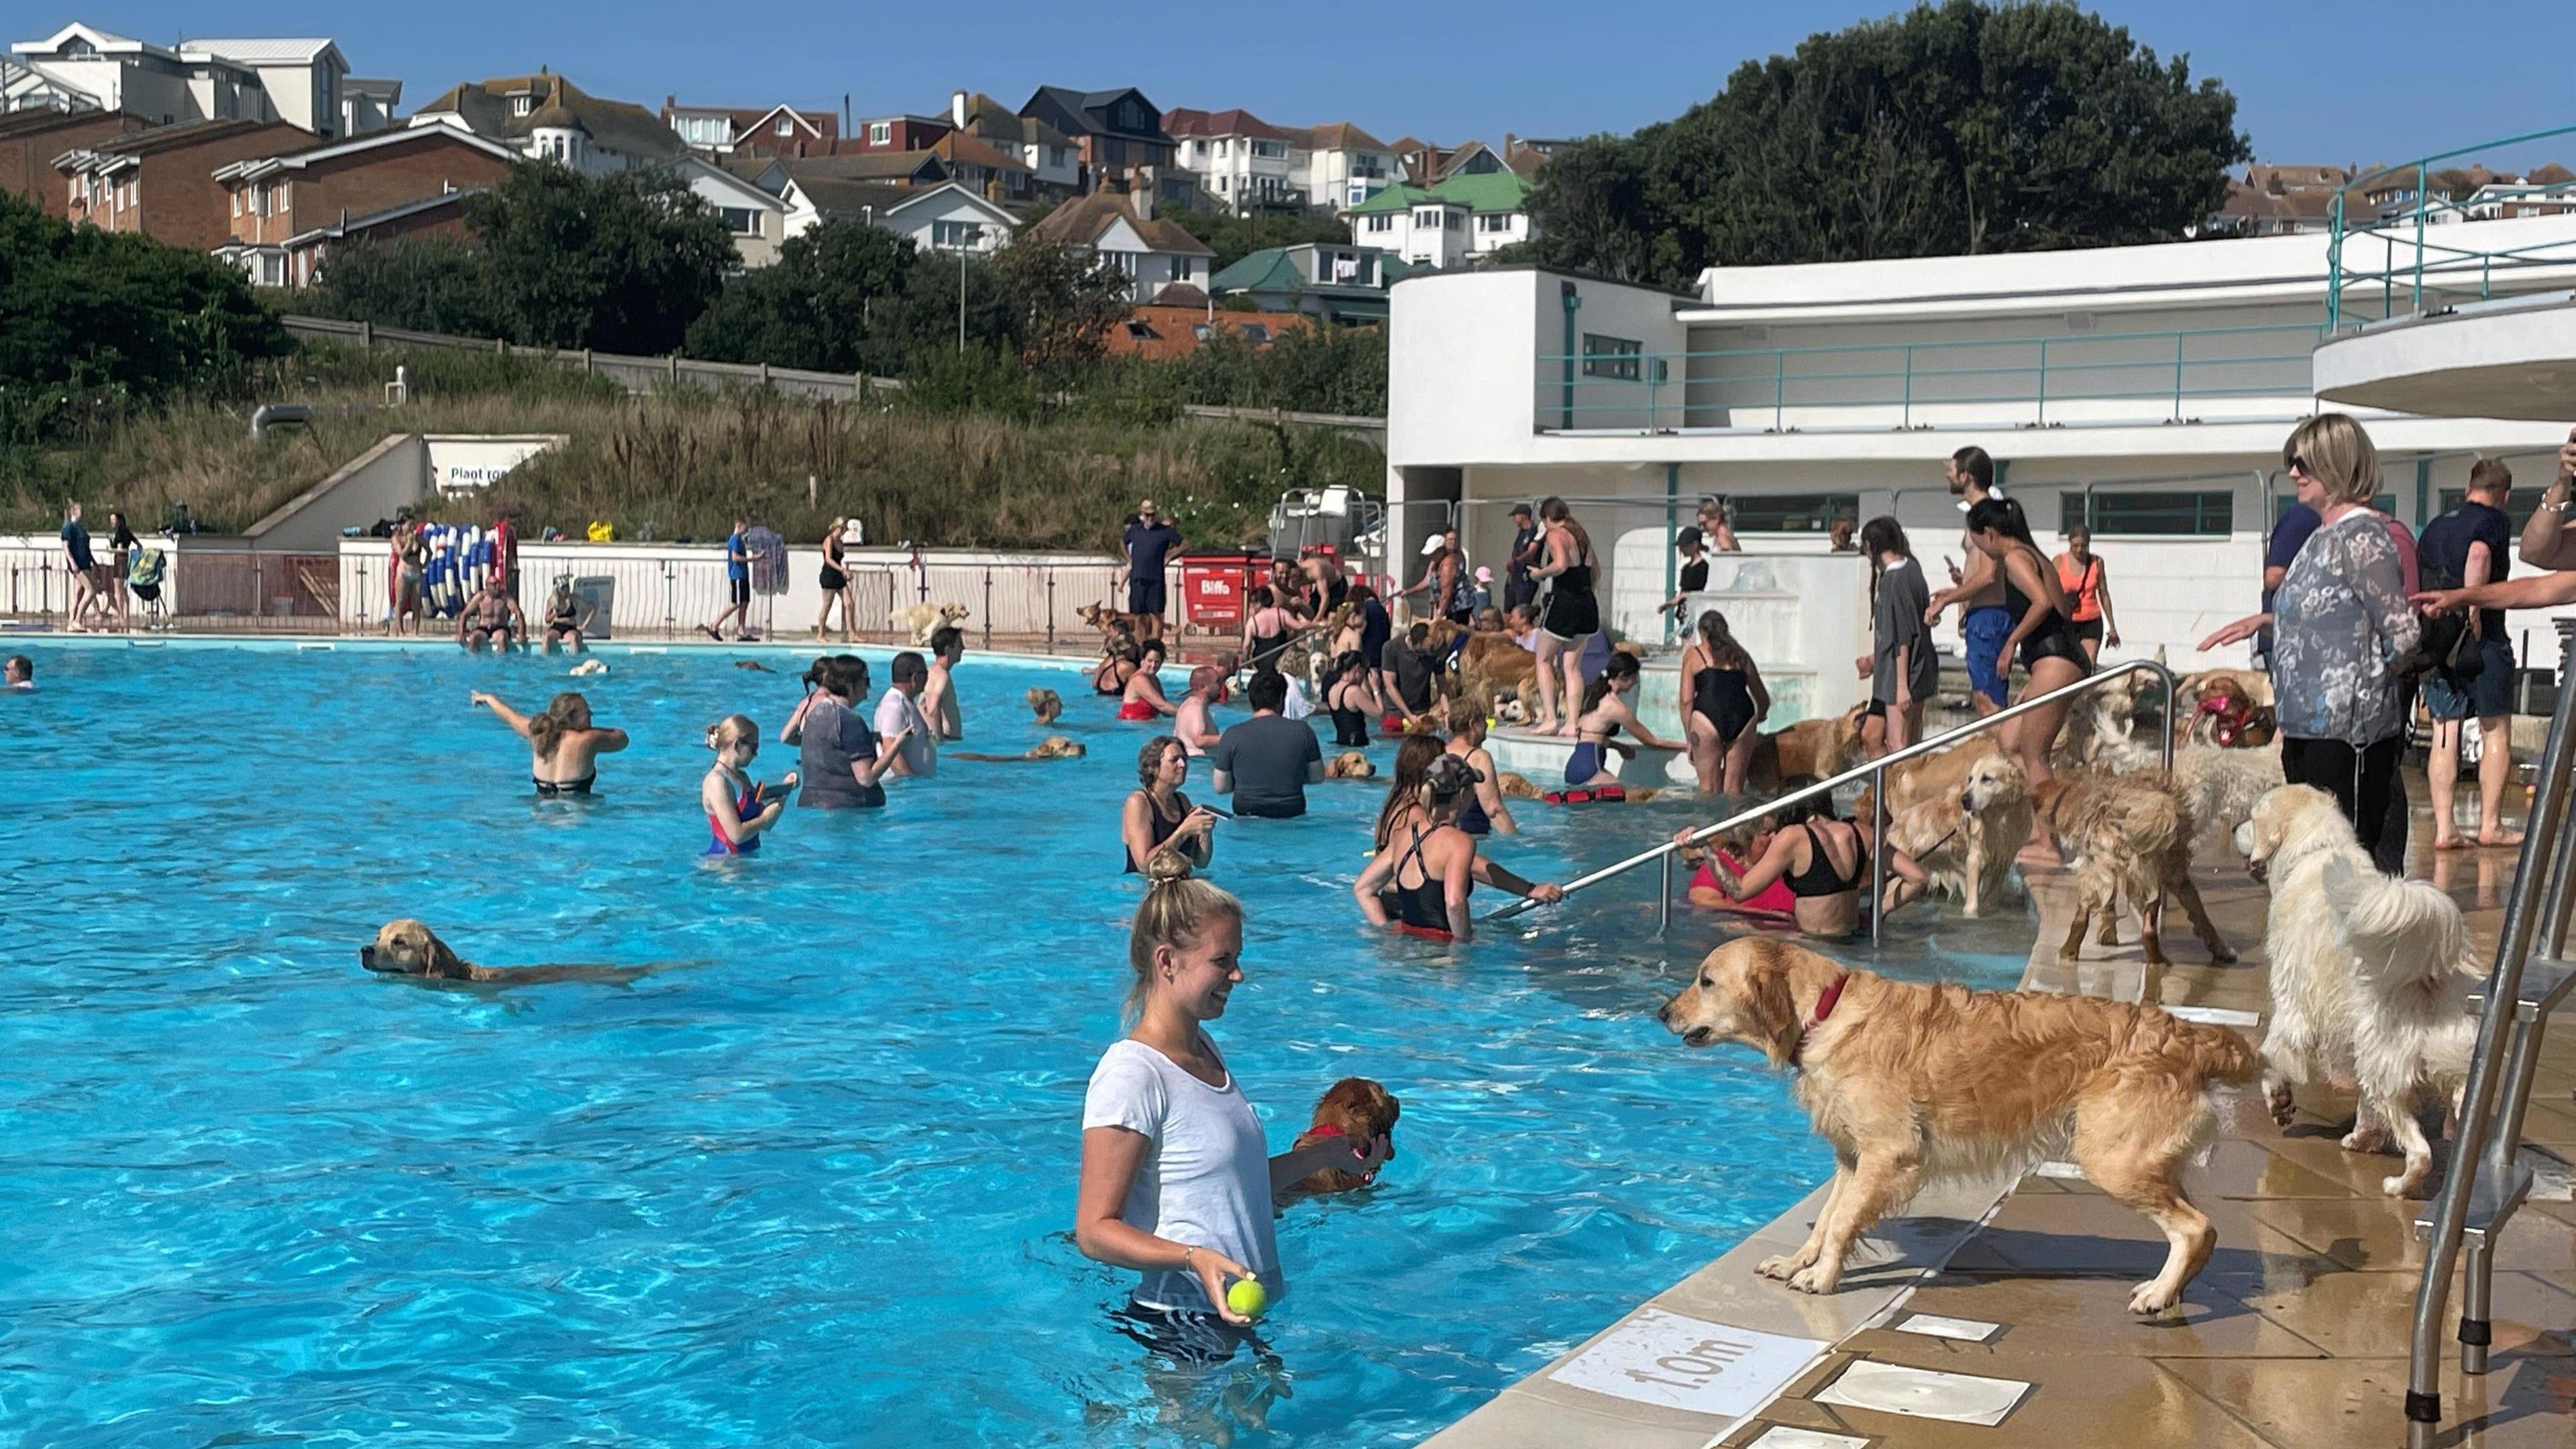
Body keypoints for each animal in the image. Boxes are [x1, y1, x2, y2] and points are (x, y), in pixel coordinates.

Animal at [2246, 784, 2483, 1191]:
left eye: (2252, 815)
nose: (2235, 827)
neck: (2317, 849)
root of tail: (2425, 969)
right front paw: (2364, 1136)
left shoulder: (2294, 1006)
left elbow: (2276, 1053)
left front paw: (2280, 1101)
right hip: (2440, 1050)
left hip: (2383, 1063)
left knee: (2420, 1151)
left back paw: (2399, 1186)